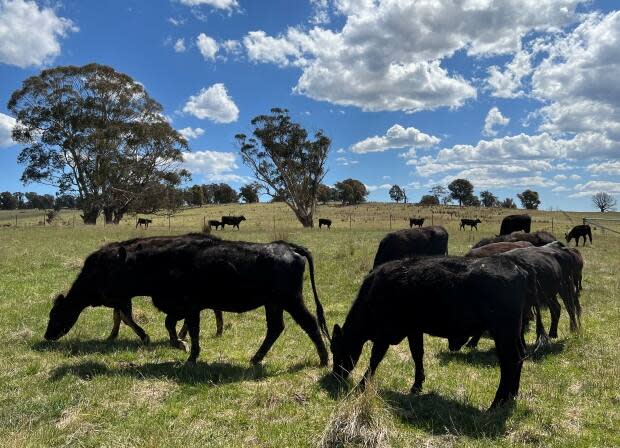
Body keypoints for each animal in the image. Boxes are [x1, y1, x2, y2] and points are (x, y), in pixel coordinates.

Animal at [44, 233, 332, 366]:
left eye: (55, 314)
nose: (47, 336)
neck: (163, 262)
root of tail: (288, 247)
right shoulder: (183, 307)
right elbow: (174, 326)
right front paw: (183, 347)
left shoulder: (188, 305)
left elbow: (185, 329)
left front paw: (187, 352)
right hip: (273, 304)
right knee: (275, 328)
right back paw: (255, 358)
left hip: (291, 300)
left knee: (309, 324)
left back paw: (323, 359)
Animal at [332, 256, 536, 410]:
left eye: (337, 350)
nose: (335, 375)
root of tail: (518, 268)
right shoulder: (414, 329)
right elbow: (417, 354)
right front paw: (417, 385)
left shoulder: (385, 332)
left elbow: (375, 359)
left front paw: (362, 384)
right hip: (514, 333)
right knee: (521, 355)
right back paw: (512, 396)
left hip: (503, 332)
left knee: (510, 361)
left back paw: (496, 403)